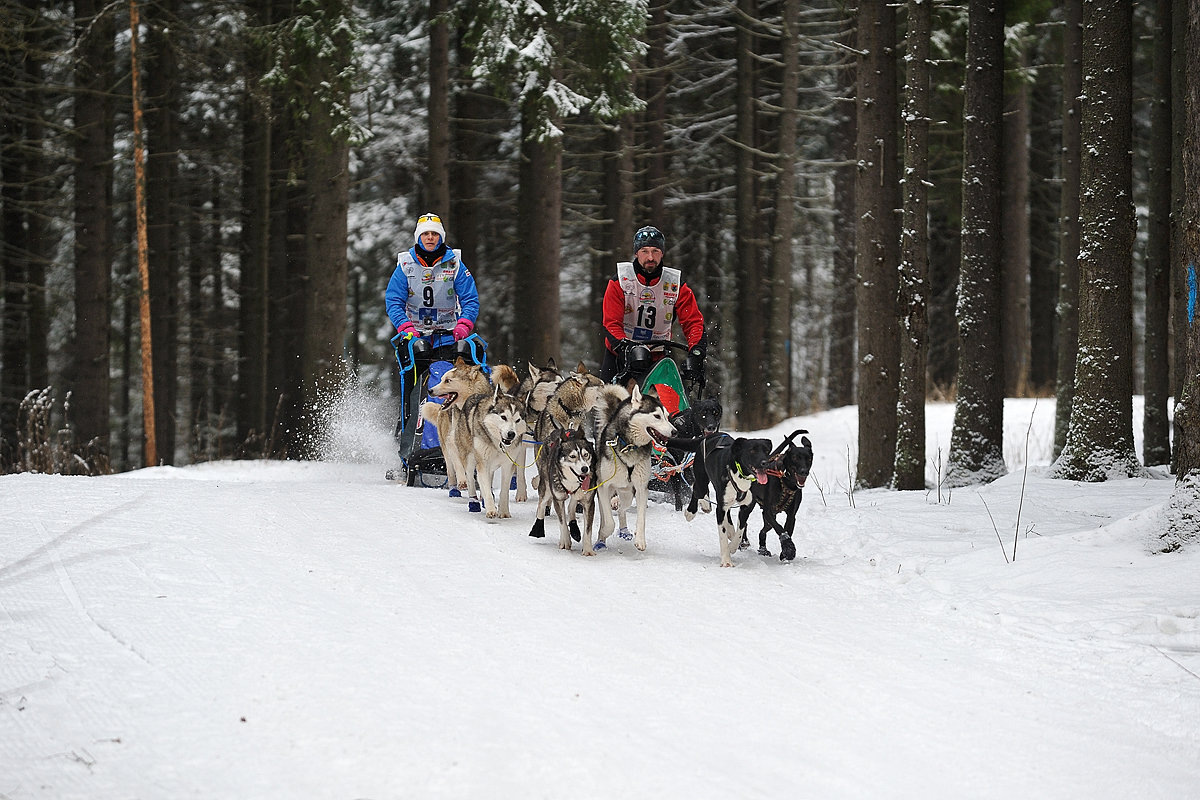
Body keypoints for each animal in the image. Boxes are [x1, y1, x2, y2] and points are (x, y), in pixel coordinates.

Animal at [422, 357, 492, 494]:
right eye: (442, 379)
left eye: (448, 380)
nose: (429, 390)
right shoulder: (452, 442)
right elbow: (459, 465)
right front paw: (463, 481)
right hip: (446, 451)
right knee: (451, 471)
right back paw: (454, 489)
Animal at [458, 383, 530, 520]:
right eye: (503, 417)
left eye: (517, 420)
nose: (511, 434)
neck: (499, 445)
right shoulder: (482, 463)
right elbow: (485, 487)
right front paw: (491, 510)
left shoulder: (508, 465)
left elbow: (504, 490)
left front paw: (504, 512)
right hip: (469, 459)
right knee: (470, 479)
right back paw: (474, 503)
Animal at [739, 431, 816, 563]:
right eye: (795, 458)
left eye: (809, 458)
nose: (804, 471)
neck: (786, 481)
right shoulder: (768, 512)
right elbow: (780, 528)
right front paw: (789, 549)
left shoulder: (791, 516)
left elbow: (787, 530)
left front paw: (785, 553)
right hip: (749, 506)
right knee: (743, 523)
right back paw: (742, 542)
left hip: (768, 520)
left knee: (762, 531)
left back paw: (763, 550)